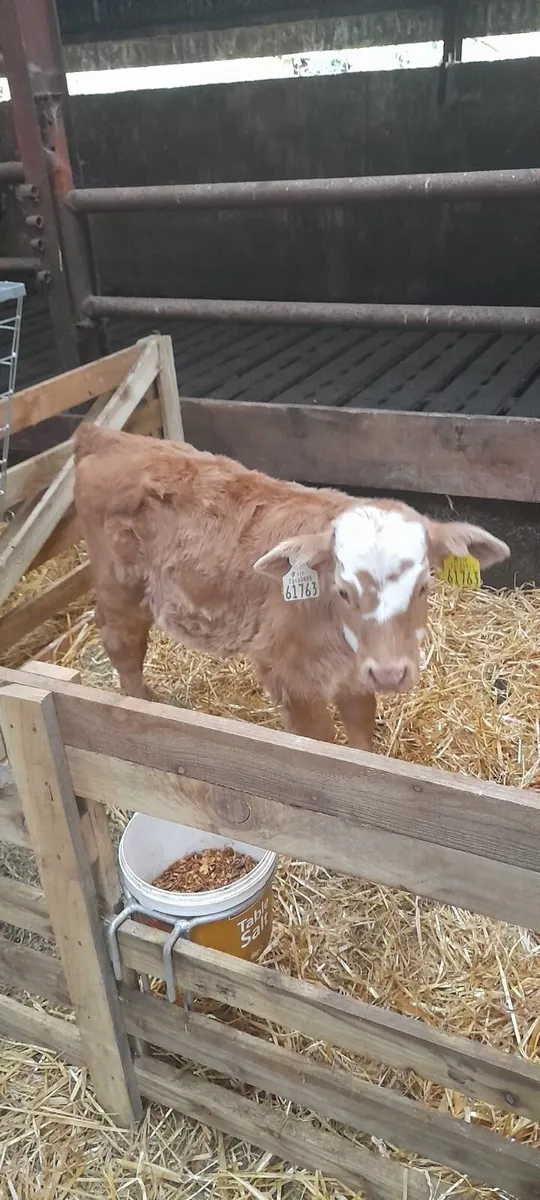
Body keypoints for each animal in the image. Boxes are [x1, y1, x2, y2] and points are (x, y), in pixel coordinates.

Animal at [74, 425, 509, 751]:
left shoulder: (353, 677)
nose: (390, 674)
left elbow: (361, 735)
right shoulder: (289, 676)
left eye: (423, 586)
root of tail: (105, 435)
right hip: (118, 584)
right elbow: (321, 743)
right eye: (343, 590)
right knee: (122, 645)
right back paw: (141, 705)